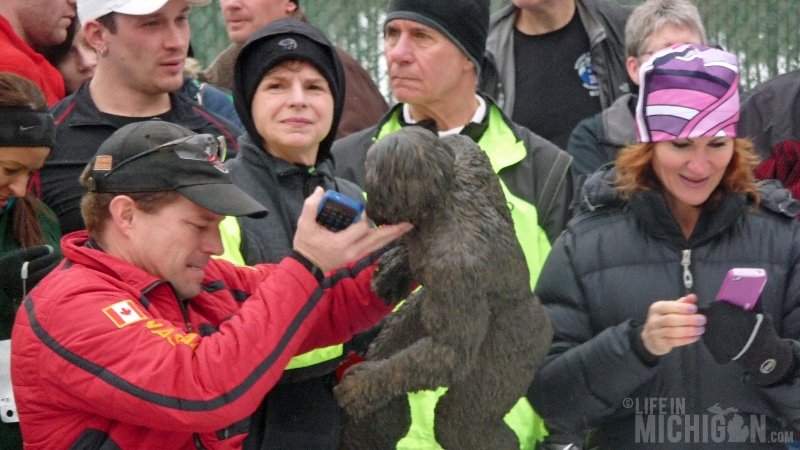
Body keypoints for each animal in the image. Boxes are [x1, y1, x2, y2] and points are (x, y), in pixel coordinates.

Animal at [334, 127, 552, 450]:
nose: (370, 205)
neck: (438, 209)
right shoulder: (472, 169)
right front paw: (393, 272)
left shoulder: (455, 271)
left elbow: (449, 352)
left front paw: (359, 387)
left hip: (516, 347)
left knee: (460, 421)